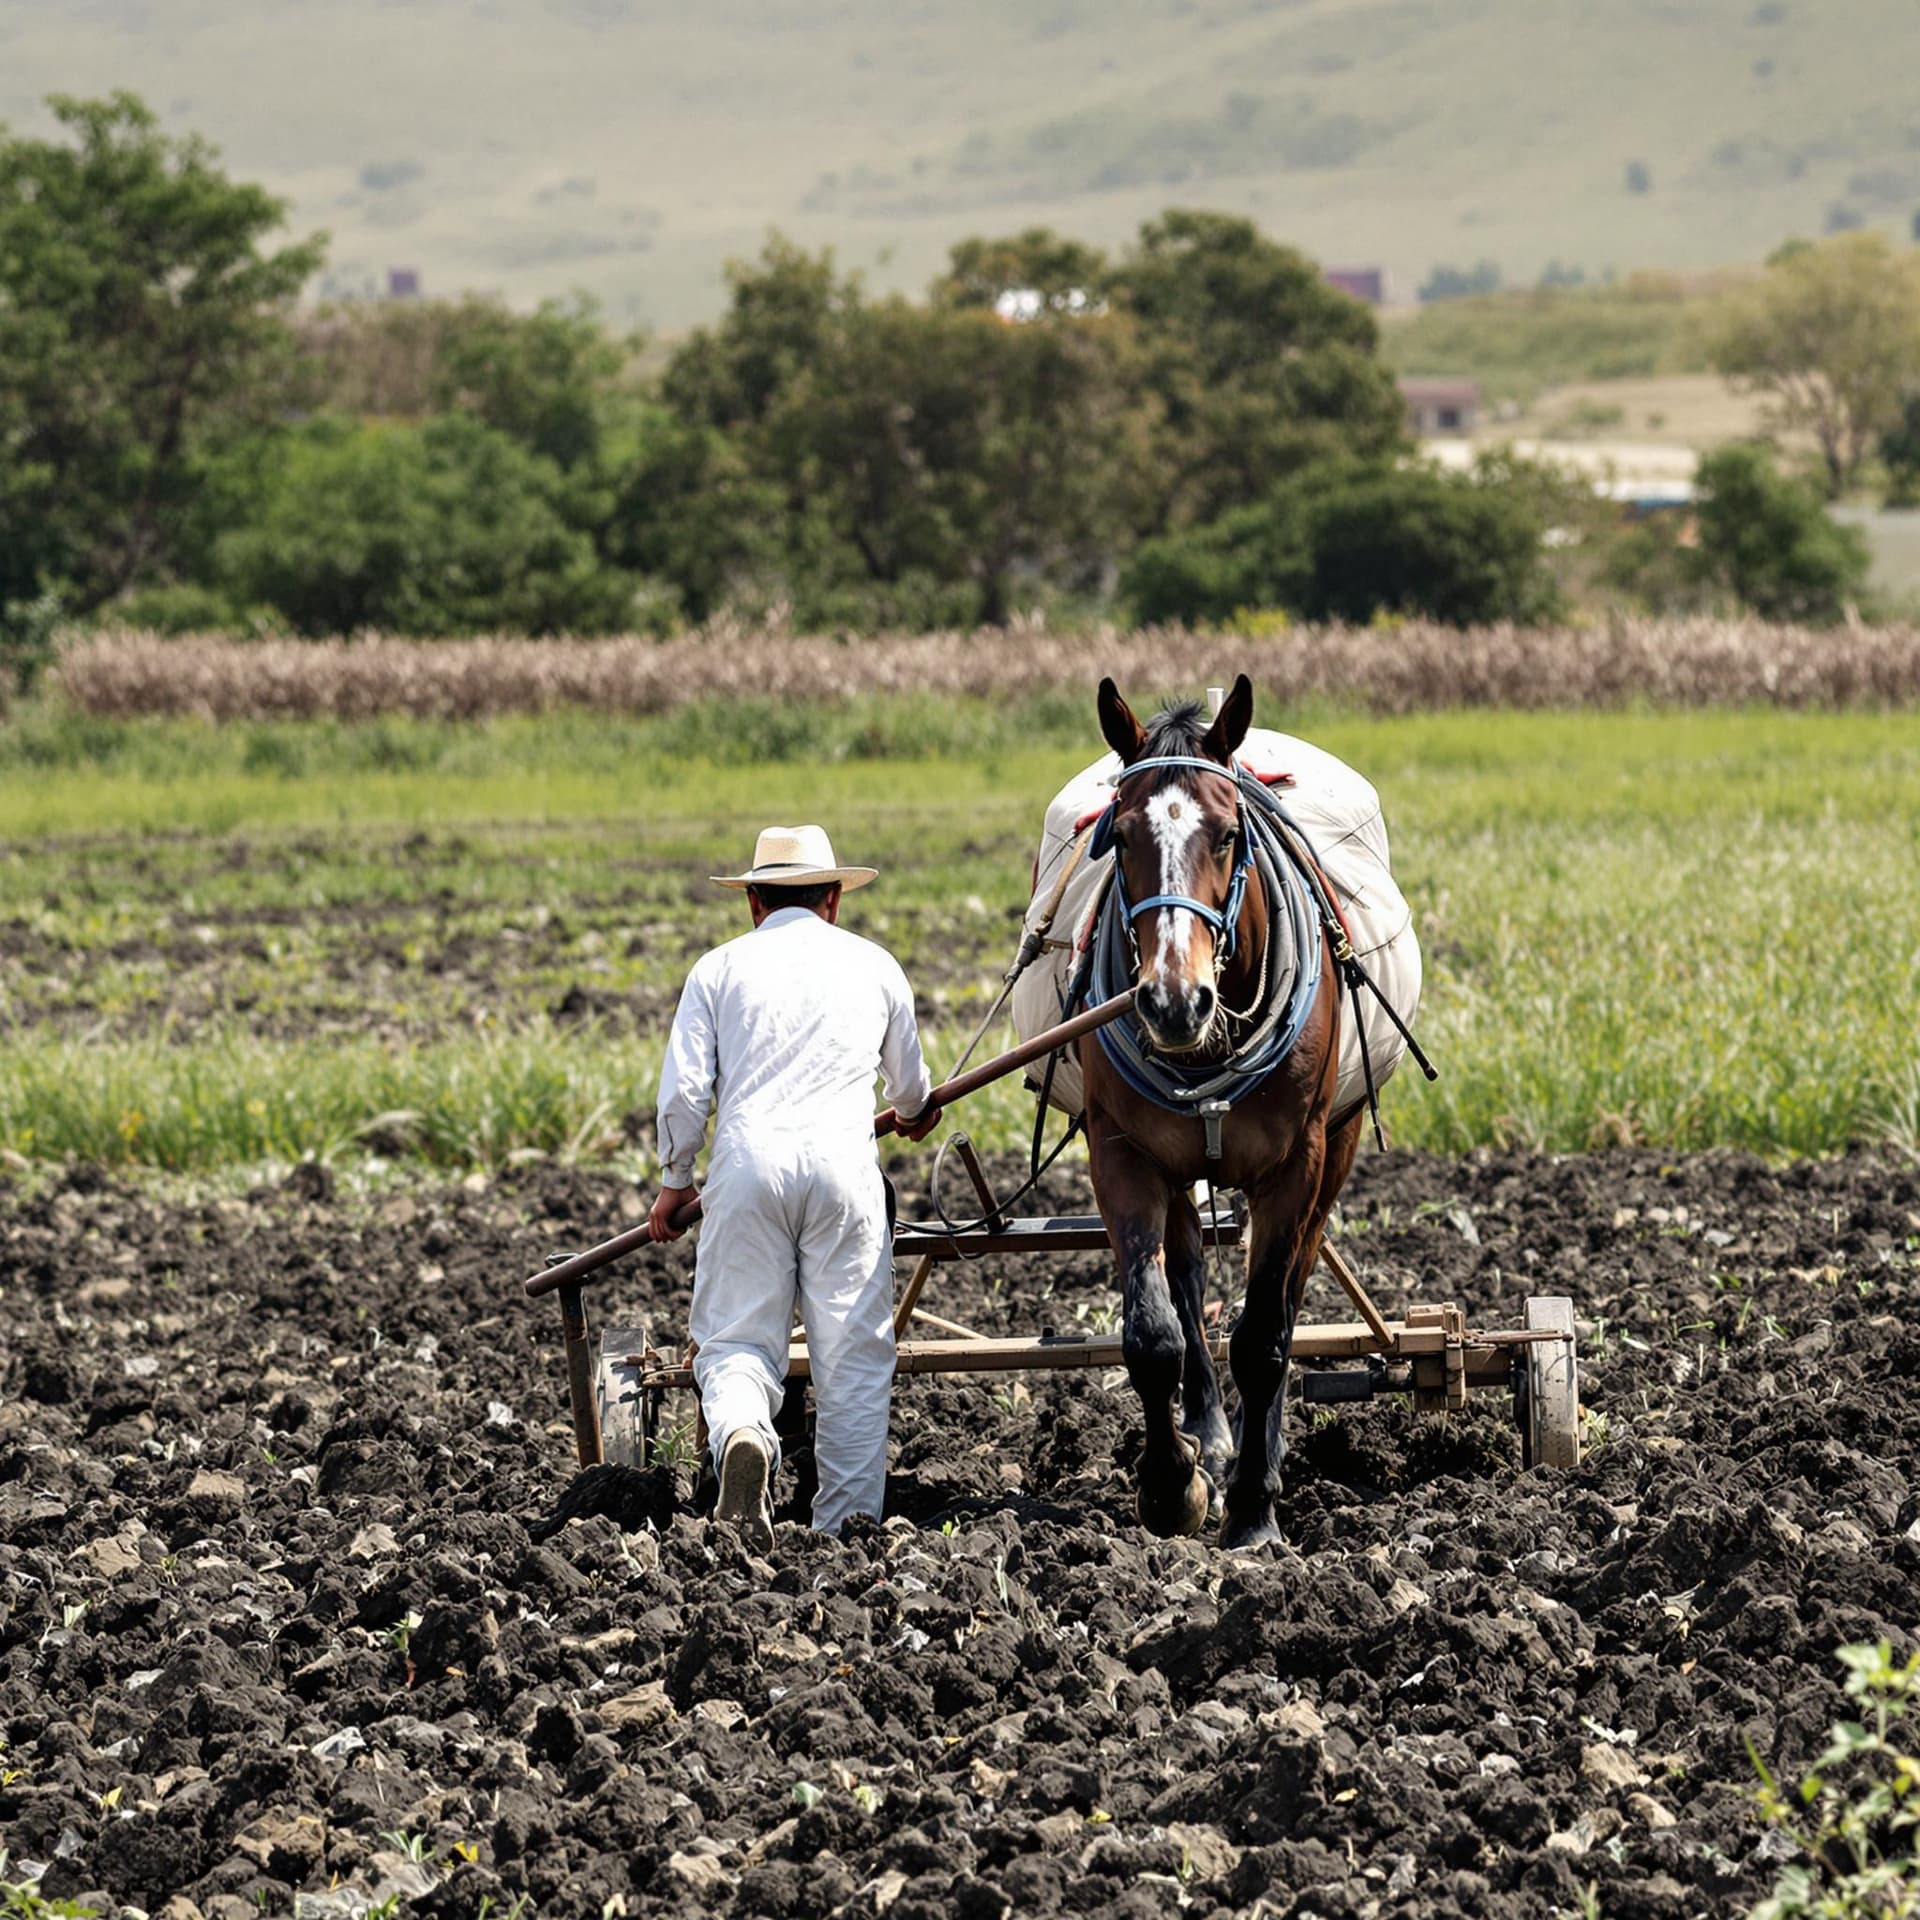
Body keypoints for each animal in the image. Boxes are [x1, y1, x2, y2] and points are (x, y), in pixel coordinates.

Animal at [1077, 673, 1382, 1549]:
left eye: (1224, 834)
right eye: (1120, 836)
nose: (1173, 1002)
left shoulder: (1297, 1165)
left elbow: (1263, 1337)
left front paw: (1252, 1509)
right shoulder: (1121, 1154)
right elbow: (1154, 1335)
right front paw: (1172, 1486)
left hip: (1336, 1152)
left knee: (1285, 1299)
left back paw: (1261, 1453)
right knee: (1185, 1278)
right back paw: (1209, 1434)